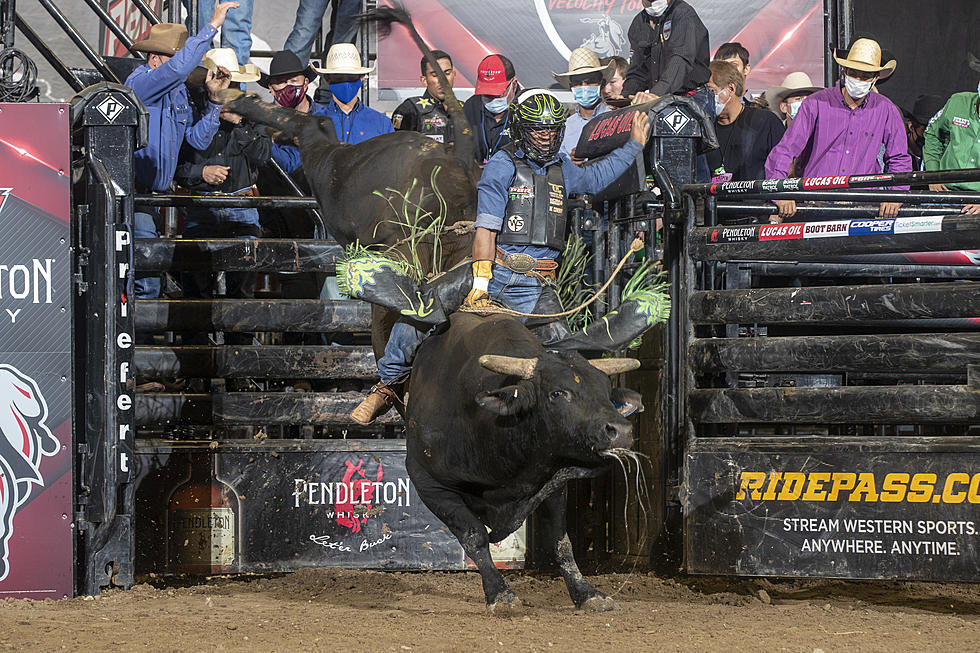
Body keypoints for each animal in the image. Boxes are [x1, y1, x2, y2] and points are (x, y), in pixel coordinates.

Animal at [406, 310, 644, 612]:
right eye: (557, 393)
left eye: (607, 392)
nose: (620, 431)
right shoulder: (429, 483)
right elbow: (474, 536)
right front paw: (500, 594)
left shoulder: (552, 482)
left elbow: (561, 542)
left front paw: (586, 593)